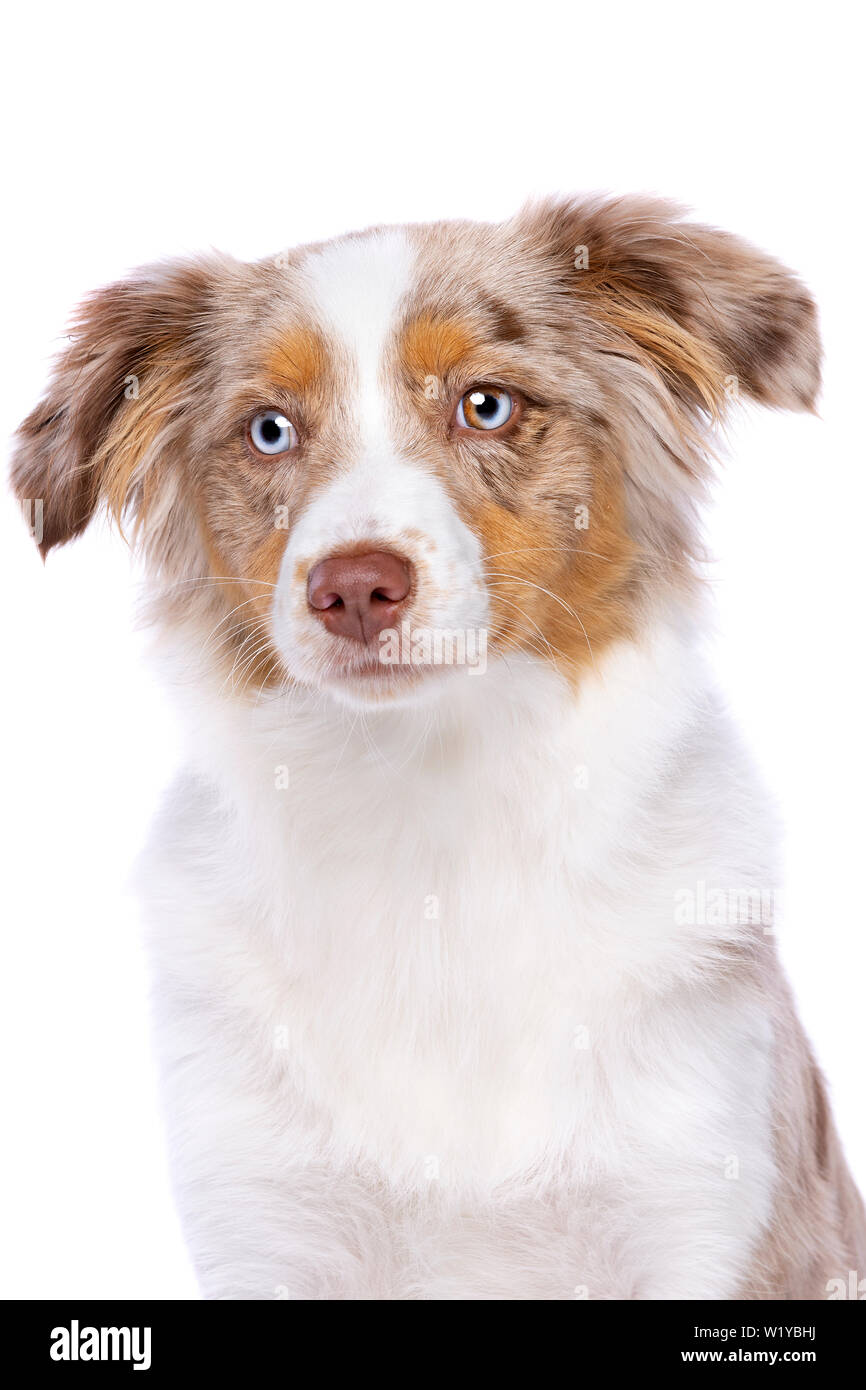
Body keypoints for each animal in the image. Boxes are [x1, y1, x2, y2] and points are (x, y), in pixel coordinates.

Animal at [13, 193, 866, 1289]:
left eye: (485, 406)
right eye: (269, 430)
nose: (352, 588)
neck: (429, 813)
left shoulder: (704, 1208)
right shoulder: (264, 1222)